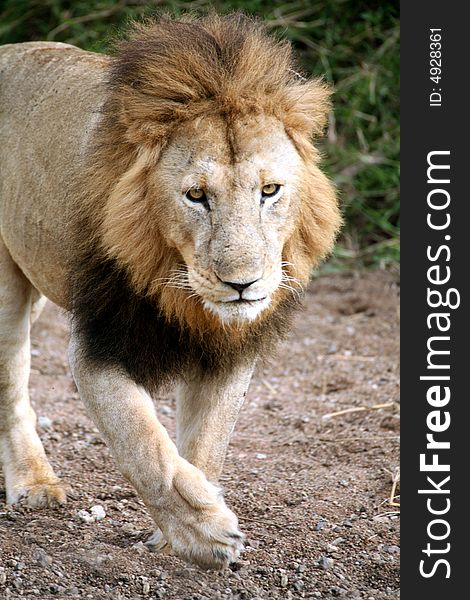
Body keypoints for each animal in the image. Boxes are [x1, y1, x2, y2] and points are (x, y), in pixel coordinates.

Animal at [0, 12, 340, 568]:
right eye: (196, 196)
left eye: (270, 191)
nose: (242, 284)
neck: (187, 298)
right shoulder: (98, 347)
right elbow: (144, 445)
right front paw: (205, 533)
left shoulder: (230, 352)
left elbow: (206, 445)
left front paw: (185, 524)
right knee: (12, 388)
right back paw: (34, 484)